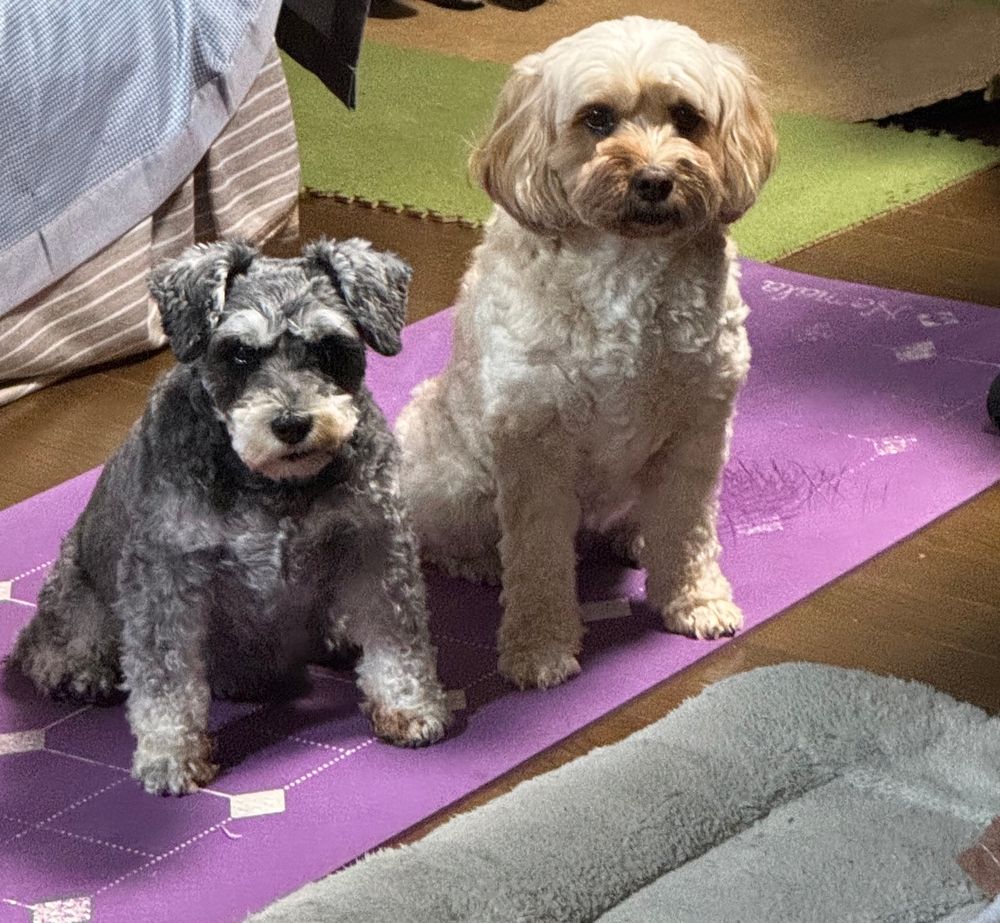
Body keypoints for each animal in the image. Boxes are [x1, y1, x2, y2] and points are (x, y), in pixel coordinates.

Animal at [10, 239, 451, 795]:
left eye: (328, 346)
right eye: (240, 352)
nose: (291, 424)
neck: (274, 484)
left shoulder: (376, 544)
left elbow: (398, 638)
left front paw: (408, 706)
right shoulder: (166, 580)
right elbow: (165, 680)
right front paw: (171, 756)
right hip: (76, 587)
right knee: (45, 642)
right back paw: (80, 669)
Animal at [395, 17, 777, 690]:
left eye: (687, 117)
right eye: (597, 118)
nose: (654, 179)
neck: (626, 263)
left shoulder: (700, 424)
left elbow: (690, 528)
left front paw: (696, 599)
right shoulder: (533, 443)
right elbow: (539, 558)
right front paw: (540, 646)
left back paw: (638, 537)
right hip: (451, 477)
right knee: (445, 540)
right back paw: (483, 562)